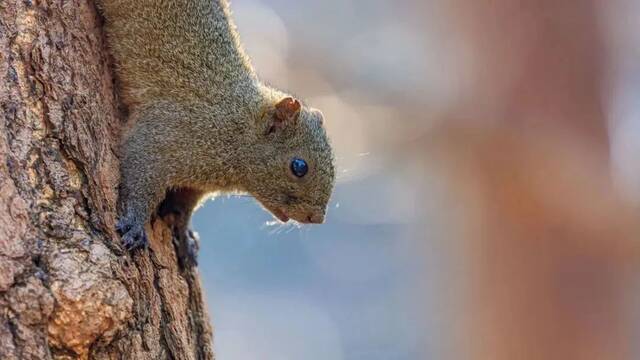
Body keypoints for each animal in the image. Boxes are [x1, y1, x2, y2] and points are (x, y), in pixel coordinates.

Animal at [97, 0, 338, 262]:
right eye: (299, 166)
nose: (317, 218)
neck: (237, 129)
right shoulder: (167, 133)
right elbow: (140, 173)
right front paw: (135, 223)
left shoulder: (195, 185)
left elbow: (183, 206)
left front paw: (184, 235)